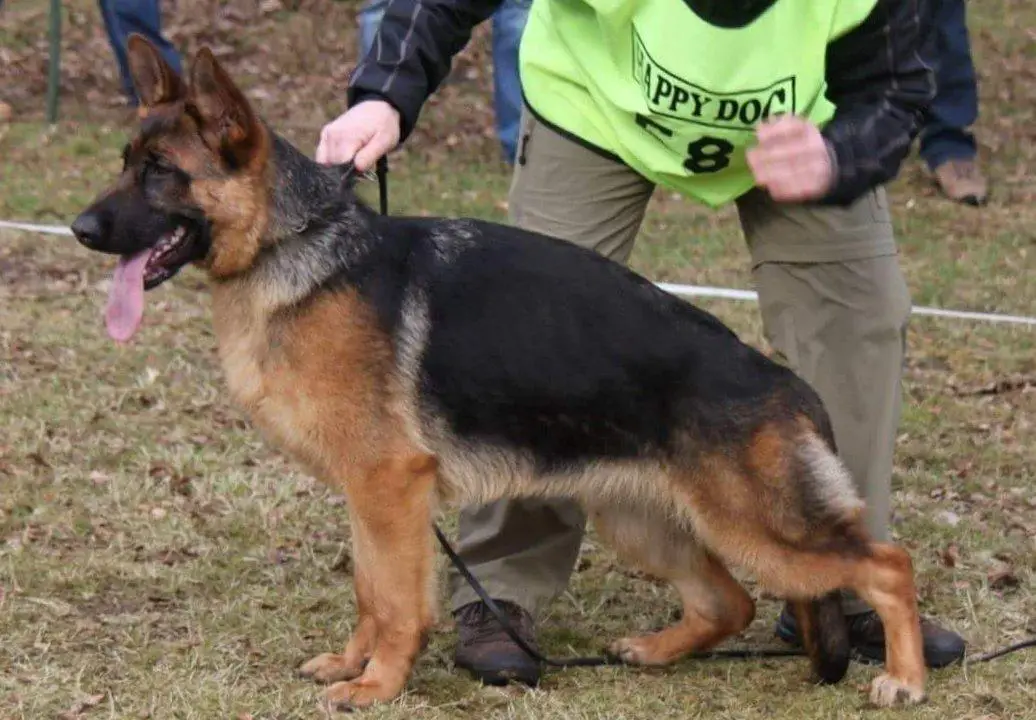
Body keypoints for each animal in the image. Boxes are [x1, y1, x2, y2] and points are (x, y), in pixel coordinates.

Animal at [75, 38, 932, 708]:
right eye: (123, 163)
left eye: (160, 172)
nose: (81, 228)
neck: (296, 246)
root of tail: (787, 383)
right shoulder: (370, 494)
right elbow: (370, 590)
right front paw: (354, 664)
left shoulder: (390, 486)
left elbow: (396, 601)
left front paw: (378, 684)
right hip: (643, 520)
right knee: (730, 602)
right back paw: (654, 652)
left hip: (756, 526)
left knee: (886, 564)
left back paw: (906, 677)